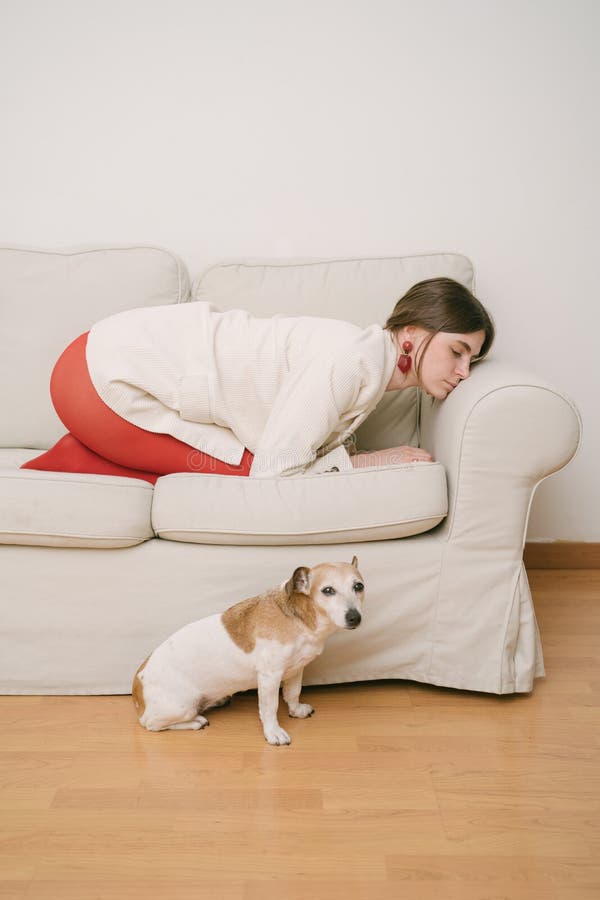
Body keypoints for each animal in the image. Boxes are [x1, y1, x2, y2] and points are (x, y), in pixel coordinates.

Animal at [132, 556, 364, 744]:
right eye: (328, 590)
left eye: (359, 586)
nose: (355, 617)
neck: (298, 619)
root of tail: (137, 685)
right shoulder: (270, 677)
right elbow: (270, 708)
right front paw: (273, 733)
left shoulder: (296, 670)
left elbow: (293, 693)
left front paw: (296, 711)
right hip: (182, 706)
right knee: (151, 724)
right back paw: (195, 722)